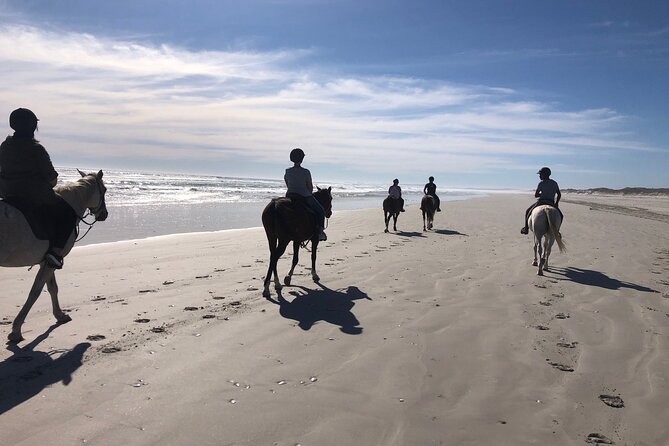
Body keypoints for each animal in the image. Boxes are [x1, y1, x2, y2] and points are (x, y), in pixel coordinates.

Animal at [0, 169, 108, 343]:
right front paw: (16, 330)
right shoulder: (52, 260)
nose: (104, 214)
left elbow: (52, 288)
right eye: (104, 190)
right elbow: (36, 291)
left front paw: (60, 315)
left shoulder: (47, 260)